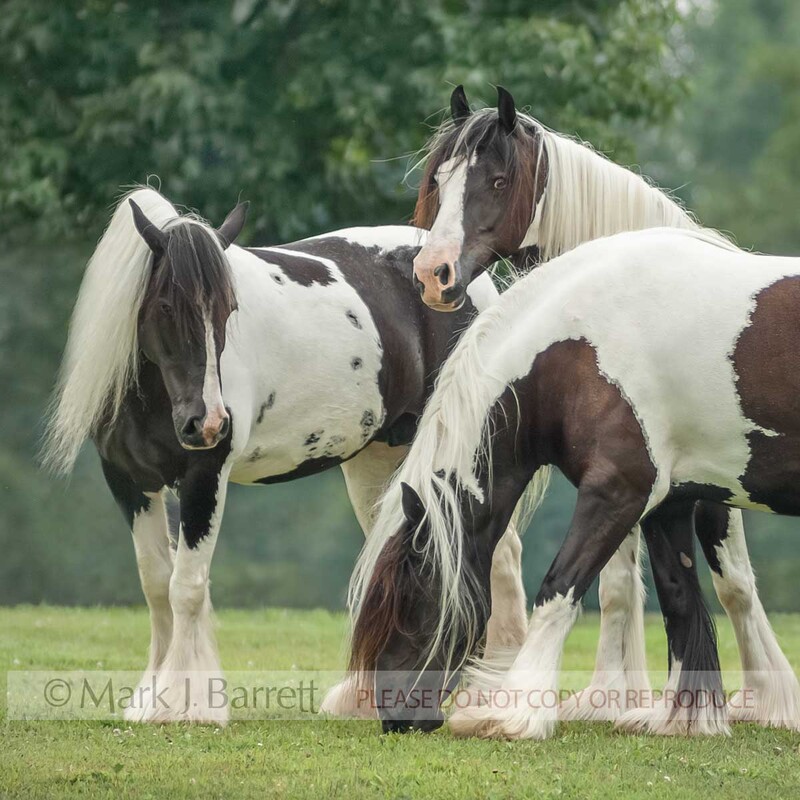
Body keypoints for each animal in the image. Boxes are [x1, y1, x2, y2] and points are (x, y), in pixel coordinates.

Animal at [42, 186, 531, 724]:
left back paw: (491, 693)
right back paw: (363, 699)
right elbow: (156, 585)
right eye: (166, 305)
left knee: (500, 553)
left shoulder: (204, 475)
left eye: (229, 308)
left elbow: (186, 587)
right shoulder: (129, 482)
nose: (208, 422)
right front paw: (150, 699)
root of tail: (469, 280)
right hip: (378, 460)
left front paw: (187, 704)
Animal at [350, 226, 800, 739]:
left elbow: (558, 588)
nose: (394, 715)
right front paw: (683, 719)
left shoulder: (617, 492)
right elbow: (679, 597)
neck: (580, 347)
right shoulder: (669, 503)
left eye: (411, 601)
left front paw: (515, 712)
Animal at [404, 84, 800, 727]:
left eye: (497, 181)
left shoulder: (700, 475)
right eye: (440, 179)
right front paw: (615, 697)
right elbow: (628, 581)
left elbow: (732, 580)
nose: (432, 275)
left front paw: (766, 701)